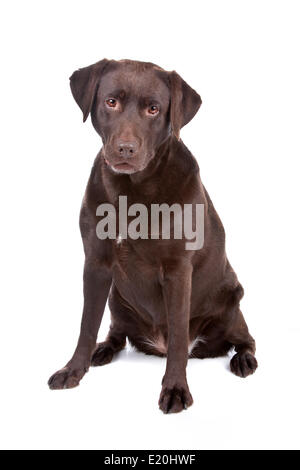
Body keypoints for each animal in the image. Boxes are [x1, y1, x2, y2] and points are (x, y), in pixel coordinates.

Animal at [48, 59, 256, 414]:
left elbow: (178, 337)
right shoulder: (96, 263)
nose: (126, 148)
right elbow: (87, 325)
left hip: (232, 301)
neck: (133, 190)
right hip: (117, 299)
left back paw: (243, 360)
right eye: (111, 102)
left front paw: (175, 388)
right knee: (116, 333)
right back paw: (103, 350)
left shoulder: (178, 269)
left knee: (245, 340)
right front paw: (74, 369)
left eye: (154, 109)